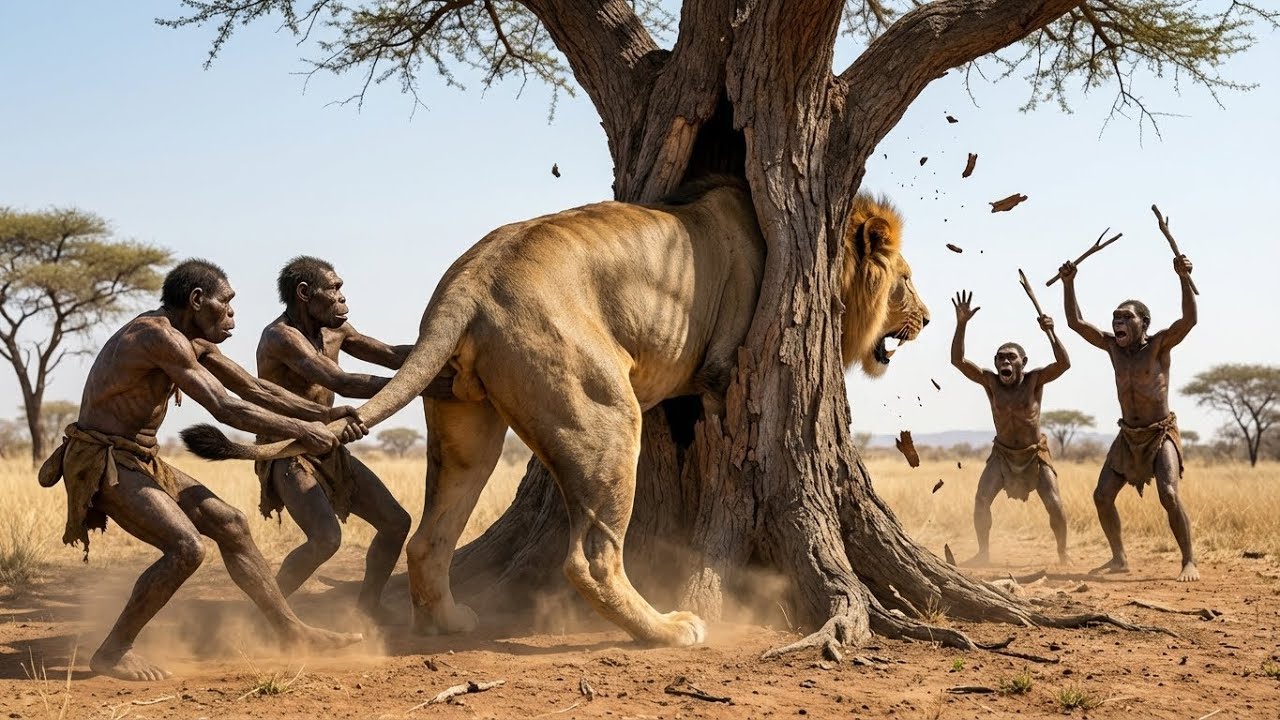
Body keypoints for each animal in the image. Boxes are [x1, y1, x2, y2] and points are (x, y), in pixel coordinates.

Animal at [183, 177, 929, 647]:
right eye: (906, 279)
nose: (923, 318)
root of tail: (469, 280)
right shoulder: (726, 358)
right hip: (605, 415)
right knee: (590, 557)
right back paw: (668, 631)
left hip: (465, 424)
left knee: (428, 538)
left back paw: (449, 623)